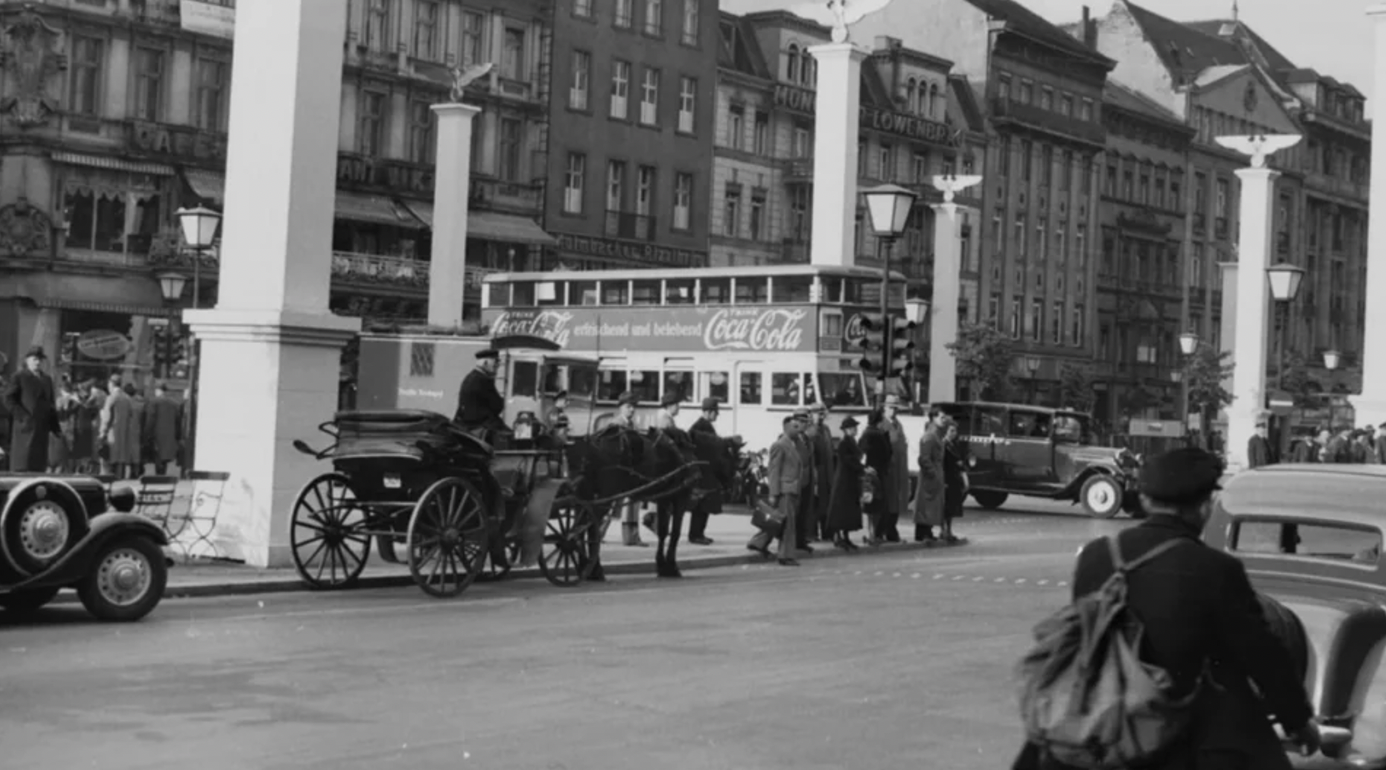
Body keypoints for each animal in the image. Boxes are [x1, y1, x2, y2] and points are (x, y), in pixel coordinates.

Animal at [562, 426, 737, 576]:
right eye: (730, 457)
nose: (731, 485)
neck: (687, 453)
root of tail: (591, 443)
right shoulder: (680, 498)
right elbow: (675, 533)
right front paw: (672, 566)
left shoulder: (664, 499)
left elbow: (663, 531)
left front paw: (662, 566)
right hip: (604, 497)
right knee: (590, 529)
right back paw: (594, 568)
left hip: (584, 497)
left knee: (581, 527)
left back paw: (584, 566)